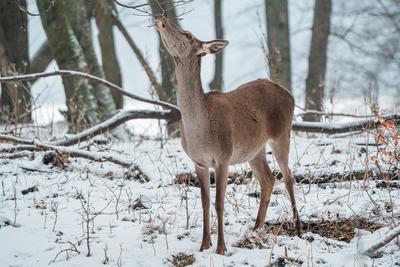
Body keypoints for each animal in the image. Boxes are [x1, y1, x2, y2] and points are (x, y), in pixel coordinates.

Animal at [155, 15, 302, 255]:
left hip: (282, 134)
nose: (160, 18)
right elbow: (205, 202)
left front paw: (220, 248)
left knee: (288, 176)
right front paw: (204, 245)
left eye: (187, 34)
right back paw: (256, 227)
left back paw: (298, 228)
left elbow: (219, 203)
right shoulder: (199, 162)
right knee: (268, 178)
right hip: (254, 149)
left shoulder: (223, 157)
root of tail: (290, 94)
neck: (199, 131)